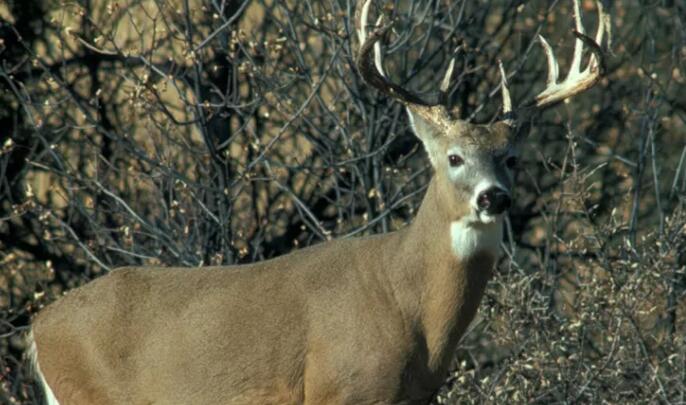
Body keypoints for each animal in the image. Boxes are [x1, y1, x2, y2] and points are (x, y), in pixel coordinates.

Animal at [24, 1, 612, 402]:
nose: (495, 197)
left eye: (511, 157)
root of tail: (38, 328)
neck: (410, 305)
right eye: (453, 157)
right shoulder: (341, 386)